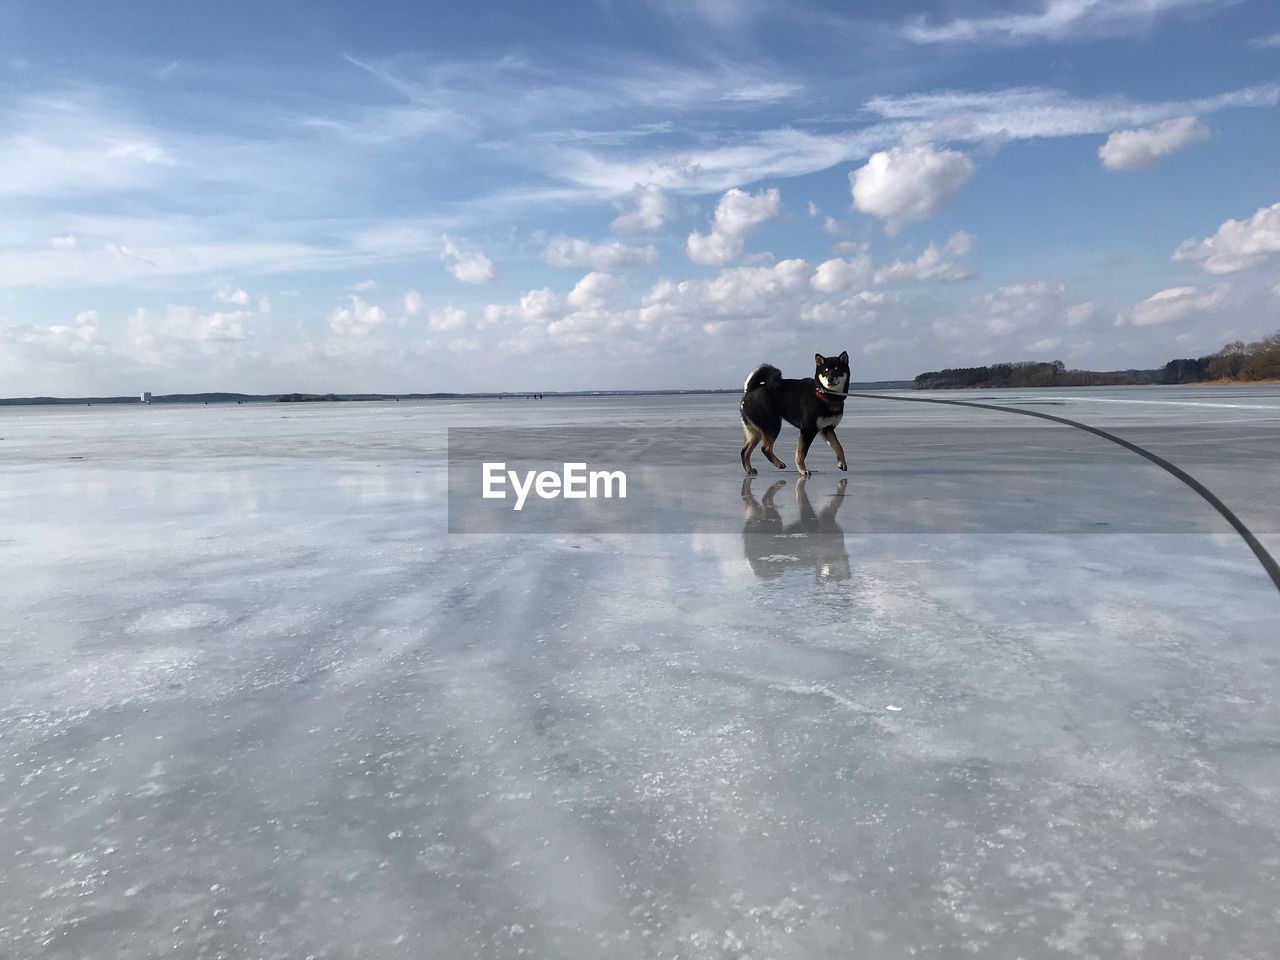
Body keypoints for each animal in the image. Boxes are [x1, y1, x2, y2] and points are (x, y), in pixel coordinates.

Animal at [742, 350, 849, 478]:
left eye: (837, 369)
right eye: (825, 371)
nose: (830, 378)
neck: (825, 395)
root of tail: (750, 389)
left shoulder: (827, 429)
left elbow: (839, 446)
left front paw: (842, 463)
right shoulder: (808, 430)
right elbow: (801, 453)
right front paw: (802, 470)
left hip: (755, 431)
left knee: (745, 451)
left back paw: (749, 469)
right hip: (772, 425)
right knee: (765, 448)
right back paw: (779, 464)